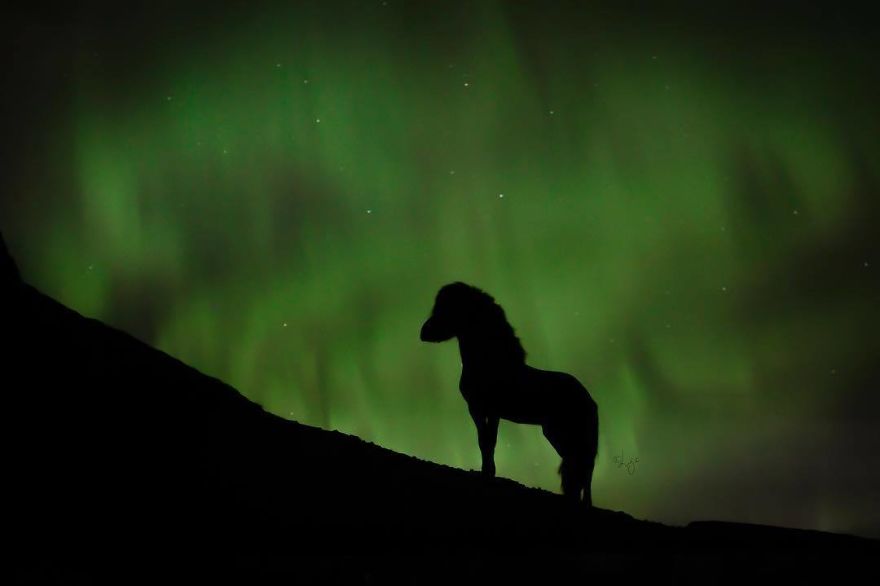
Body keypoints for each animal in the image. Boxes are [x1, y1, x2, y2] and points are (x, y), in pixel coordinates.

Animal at [420, 282, 599, 506]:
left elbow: (486, 441)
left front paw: (487, 474)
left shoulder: (483, 409)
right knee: (580, 468)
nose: (424, 331)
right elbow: (487, 442)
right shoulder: (485, 411)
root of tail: (589, 399)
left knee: (580, 466)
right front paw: (488, 472)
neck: (492, 362)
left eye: (447, 308)